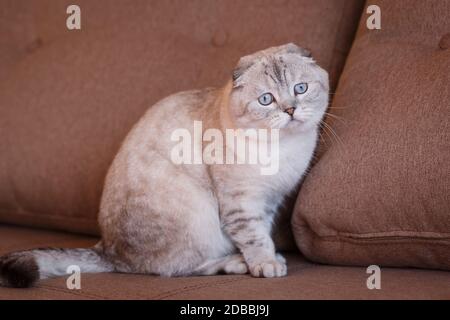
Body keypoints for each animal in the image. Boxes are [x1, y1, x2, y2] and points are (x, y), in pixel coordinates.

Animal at [0, 43, 330, 288]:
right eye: (266, 100)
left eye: (301, 89)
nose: (290, 110)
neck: (285, 148)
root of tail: (108, 250)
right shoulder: (242, 201)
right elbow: (255, 237)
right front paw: (266, 264)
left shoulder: (270, 200)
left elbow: (263, 233)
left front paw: (272, 257)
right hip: (198, 215)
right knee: (179, 268)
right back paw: (235, 263)